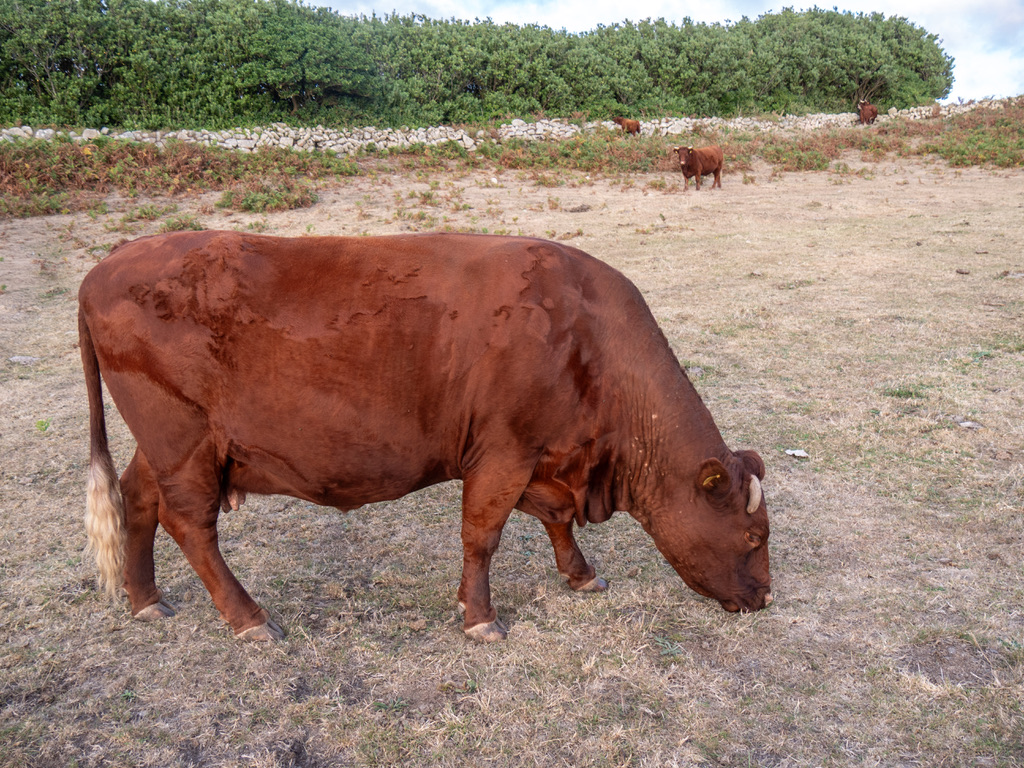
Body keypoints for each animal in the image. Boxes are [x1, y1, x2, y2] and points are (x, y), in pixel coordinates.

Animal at [79, 231, 772, 643]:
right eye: (753, 536)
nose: (766, 597)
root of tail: (106, 266)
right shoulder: (503, 451)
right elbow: (482, 536)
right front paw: (481, 618)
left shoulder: (544, 460)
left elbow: (554, 521)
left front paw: (580, 576)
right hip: (184, 440)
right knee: (191, 525)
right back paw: (250, 619)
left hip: (166, 444)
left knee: (137, 498)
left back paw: (146, 599)